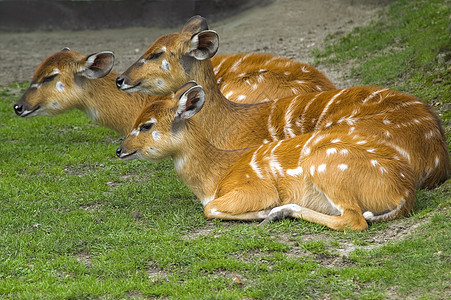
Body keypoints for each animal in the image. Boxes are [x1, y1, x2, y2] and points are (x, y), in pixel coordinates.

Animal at [117, 82, 416, 232]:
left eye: (146, 125)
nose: (119, 150)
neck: (214, 177)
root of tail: (403, 192)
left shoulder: (254, 187)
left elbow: (209, 208)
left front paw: (260, 212)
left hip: (326, 166)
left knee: (355, 220)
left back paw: (277, 211)